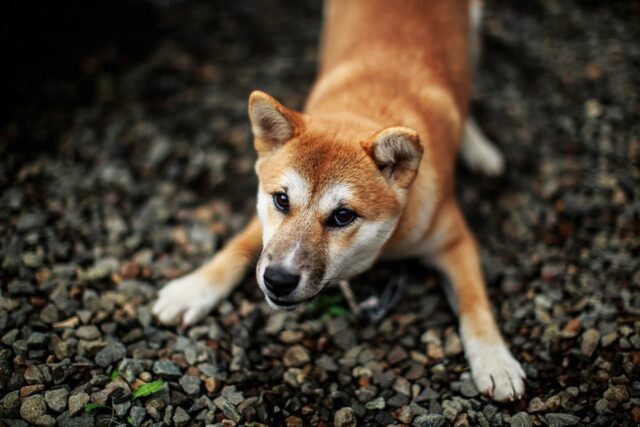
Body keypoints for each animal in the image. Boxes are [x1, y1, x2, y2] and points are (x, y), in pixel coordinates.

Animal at [154, 0, 524, 402]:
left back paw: (477, 147)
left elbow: (475, 304)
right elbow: (236, 249)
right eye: (281, 200)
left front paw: (495, 360)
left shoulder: (455, 239)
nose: (278, 280)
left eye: (343, 216)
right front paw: (193, 288)